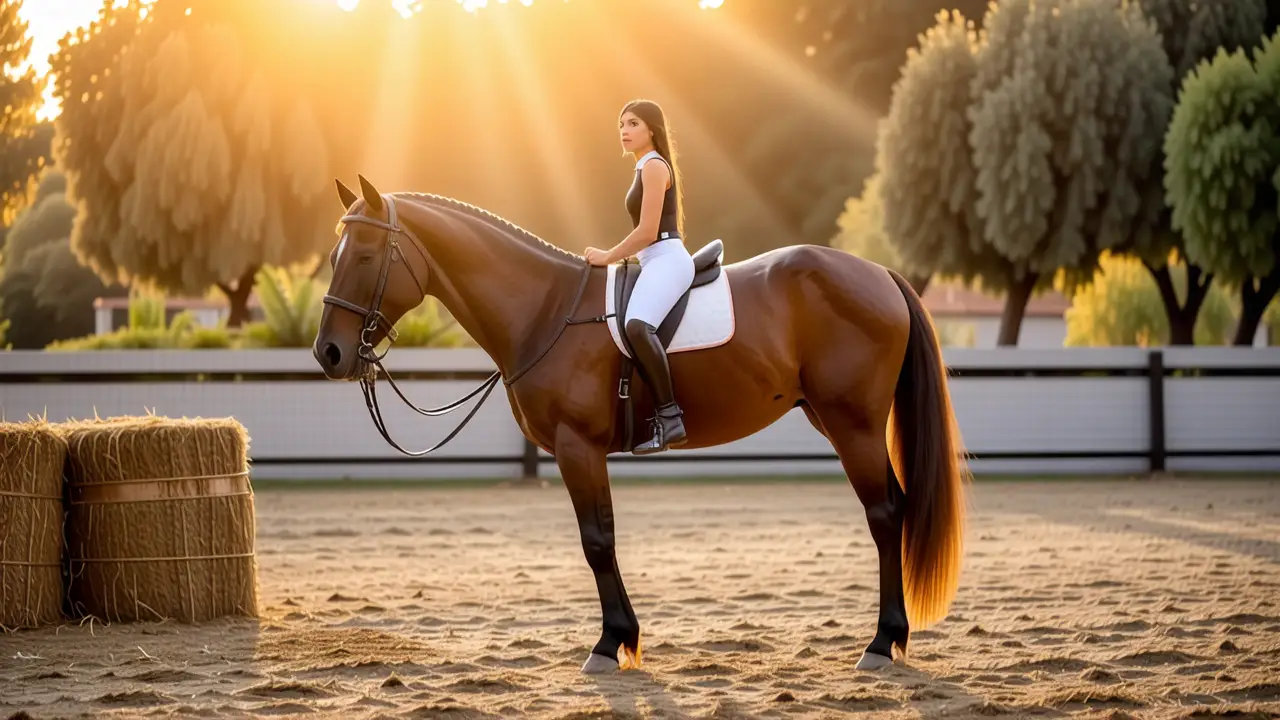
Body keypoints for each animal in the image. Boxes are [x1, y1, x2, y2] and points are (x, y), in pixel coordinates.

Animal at [312, 174, 969, 674]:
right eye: (335, 255)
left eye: (365, 256)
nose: (330, 354)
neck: (546, 309)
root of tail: (878, 274)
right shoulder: (580, 452)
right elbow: (602, 538)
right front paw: (623, 639)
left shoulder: (578, 448)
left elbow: (597, 543)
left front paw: (610, 645)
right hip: (836, 420)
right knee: (895, 507)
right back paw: (893, 638)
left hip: (852, 423)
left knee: (885, 514)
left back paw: (881, 642)